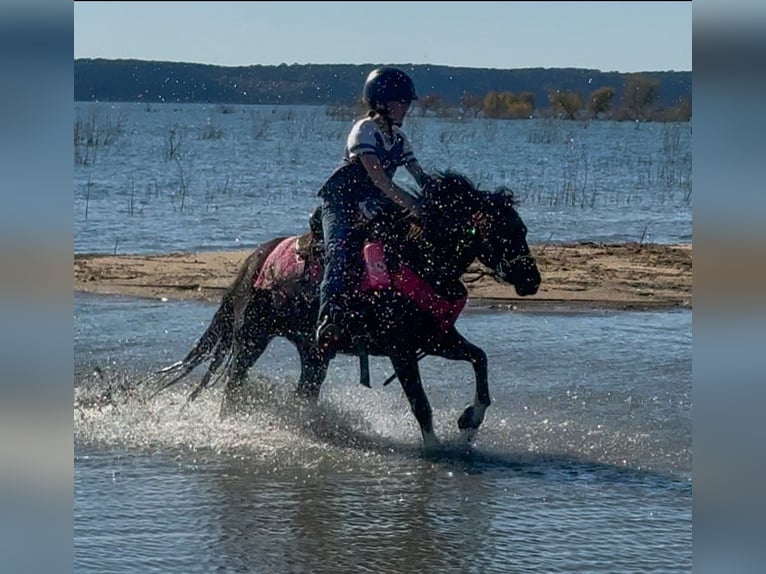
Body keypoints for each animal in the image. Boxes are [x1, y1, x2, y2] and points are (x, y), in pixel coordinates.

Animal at [152, 171, 541, 448]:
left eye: (523, 228)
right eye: (508, 231)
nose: (532, 280)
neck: (417, 259)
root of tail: (252, 262)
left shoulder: (435, 339)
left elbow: (480, 359)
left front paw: (470, 422)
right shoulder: (401, 350)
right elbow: (421, 404)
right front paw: (436, 448)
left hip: (314, 353)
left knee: (303, 393)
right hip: (252, 339)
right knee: (233, 387)